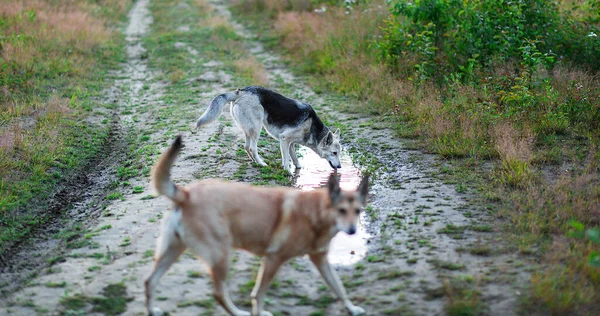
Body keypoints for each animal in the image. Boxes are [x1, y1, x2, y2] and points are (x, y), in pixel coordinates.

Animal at [147, 136, 368, 316]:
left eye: (358, 211)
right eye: (341, 210)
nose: (352, 230)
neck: (315, 212)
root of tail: (185, 195)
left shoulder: (321, 260)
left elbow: (339, 288)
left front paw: (352, 309)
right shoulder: (272, 259)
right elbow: (258, 295)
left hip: (172, 251)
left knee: (150, 281)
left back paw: (152, 310)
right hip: (220, 256)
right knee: (218, 293)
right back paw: (239, 312)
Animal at [195, 86, 340, 169]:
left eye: (339, 153)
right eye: (334, 153)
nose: (340, 167)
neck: (312, 127)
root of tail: (241, 92)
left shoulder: (290, 143)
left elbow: (294, 159)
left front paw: (298, 169)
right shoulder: (284, 139)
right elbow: (286, 160)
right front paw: (287, 172)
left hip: (249, 130)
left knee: (246, 147)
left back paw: (255, 162)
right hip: (257, 128)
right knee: (252, 148)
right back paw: (261, 163)